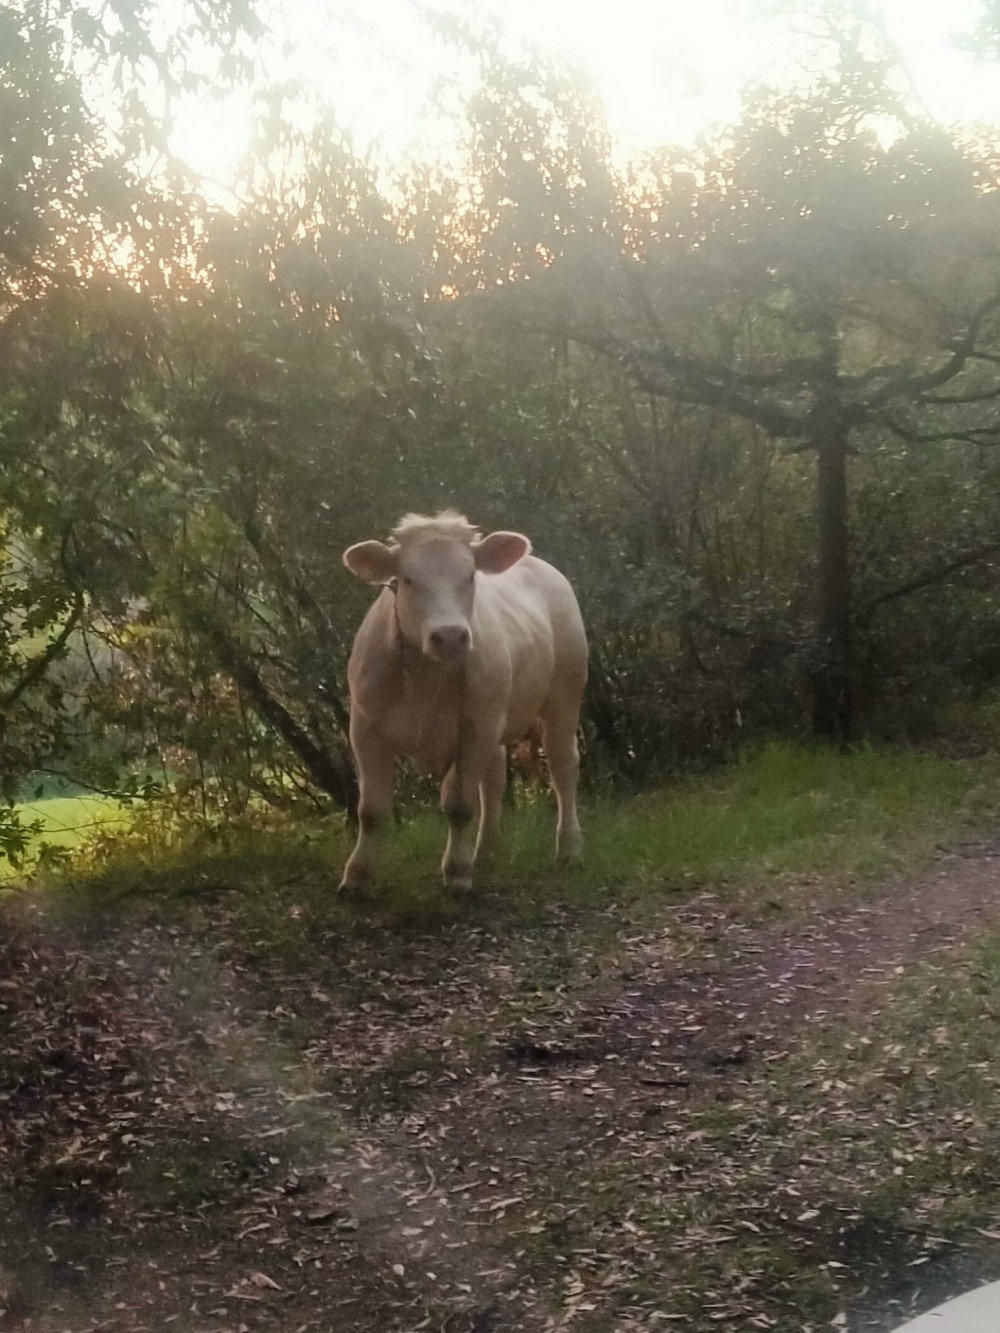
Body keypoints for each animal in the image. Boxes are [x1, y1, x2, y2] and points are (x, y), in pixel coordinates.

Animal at [339, 510, 588, 891]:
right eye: (406, 579)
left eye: (470, 575)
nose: (450, 636)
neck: (425, 679)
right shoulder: (366, 729)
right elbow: (371, 810)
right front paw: (356, 877)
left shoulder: (475, 729)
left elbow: (458, 805)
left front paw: (456, 872)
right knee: (495, 776)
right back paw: (485, 852)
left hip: (563, 695)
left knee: (563, 766)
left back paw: (569, 848)